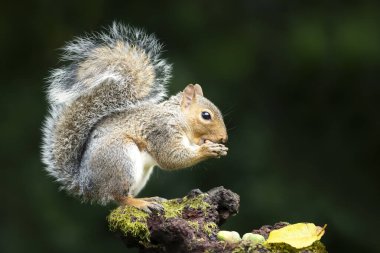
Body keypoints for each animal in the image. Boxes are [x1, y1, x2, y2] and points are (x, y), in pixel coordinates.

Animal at [41, 22, 227, 211]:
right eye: (206, 115)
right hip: (121, 158)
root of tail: (87, 185)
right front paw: (207, 150)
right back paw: (141, 203)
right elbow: (171, 157)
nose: (223, 138)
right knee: (120, 197)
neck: (177, 117)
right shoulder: (162, 130)